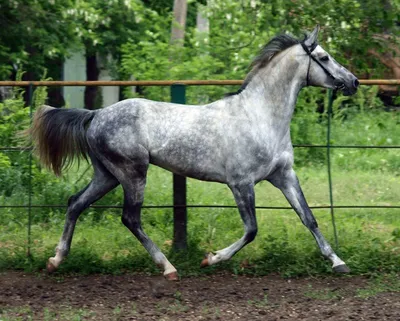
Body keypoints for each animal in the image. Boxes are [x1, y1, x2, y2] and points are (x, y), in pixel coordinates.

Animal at [29, 26, 358, 278]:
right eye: (324, 57)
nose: (353, 81)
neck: (259, 116)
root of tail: (95, 115)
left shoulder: (284, 176)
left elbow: (309, 217)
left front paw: (338, 262)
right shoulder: (241, 183)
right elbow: (251, 229)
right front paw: (211, 258)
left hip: (107, 175)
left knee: (75, 204)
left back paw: (55, 260)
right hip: (132, 173)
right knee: (130, 219)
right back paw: (168, 268)